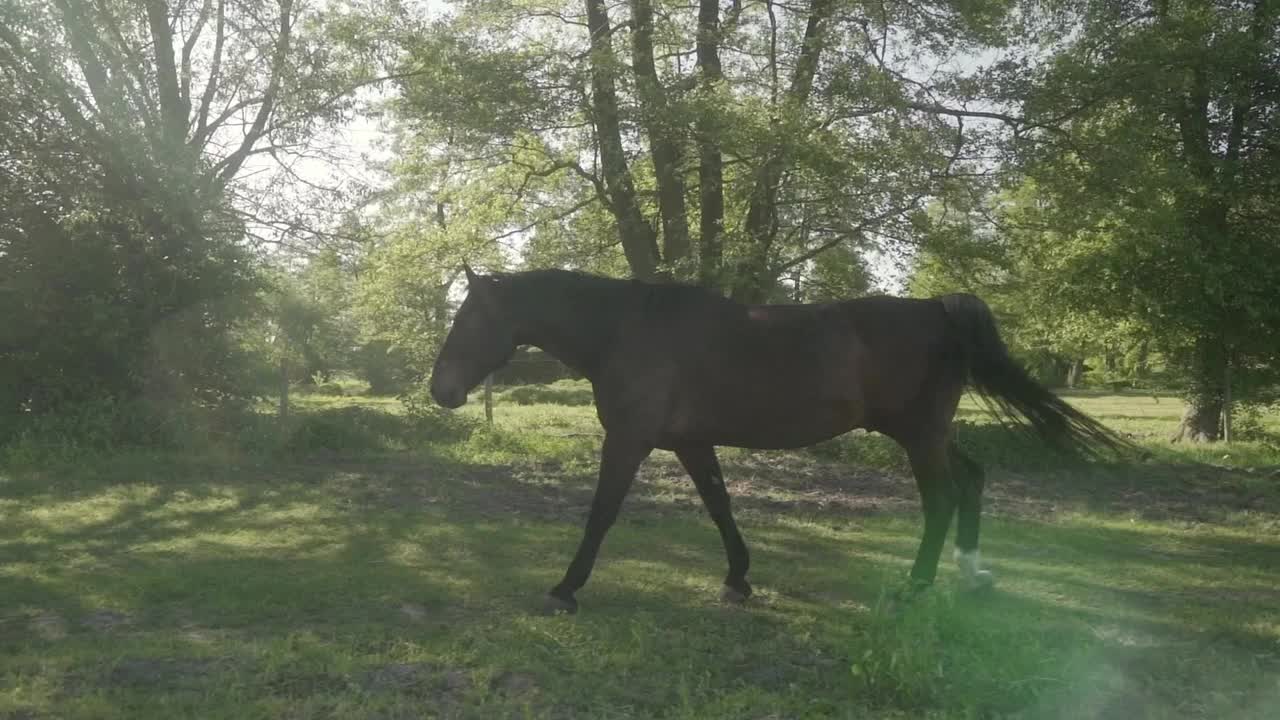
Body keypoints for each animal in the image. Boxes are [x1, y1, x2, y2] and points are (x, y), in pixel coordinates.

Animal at [432, 266, 1131, 614]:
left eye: (468, 318)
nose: (441, 389)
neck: (629, 328)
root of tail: (935, 306)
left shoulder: (630, 439)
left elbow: (602, 513)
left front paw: (566, 588)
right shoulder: (690, 442)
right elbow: (720, 506)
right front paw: (738, 580)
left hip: (917, 436)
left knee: (941, 499)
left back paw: (917, 586)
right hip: (926, 433)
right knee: (972, 481)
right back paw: (972, 574)